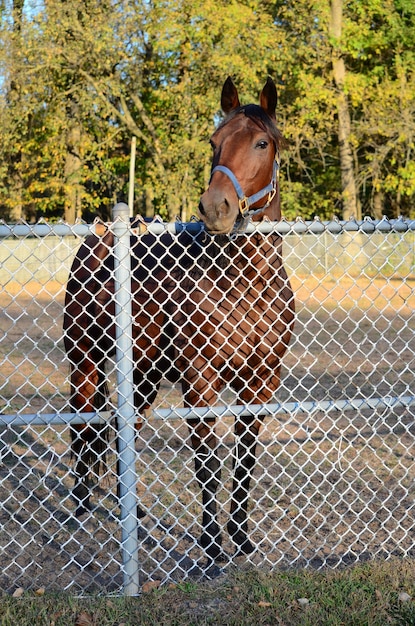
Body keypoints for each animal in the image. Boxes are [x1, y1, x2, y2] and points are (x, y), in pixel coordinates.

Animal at [62, 75, 296, 560]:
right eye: (214, 142)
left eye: (262, 142)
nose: (215, 208)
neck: (242, 286)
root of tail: (99, 238)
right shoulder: (199, 380)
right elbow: (207, 461)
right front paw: (211, 546)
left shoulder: (262, 382)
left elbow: (244, 459)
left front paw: (240, 537)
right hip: (85, 363)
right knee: (82, 425)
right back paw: (79, 504)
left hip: (144, 374)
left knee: (120, 429)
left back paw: (128, 509)